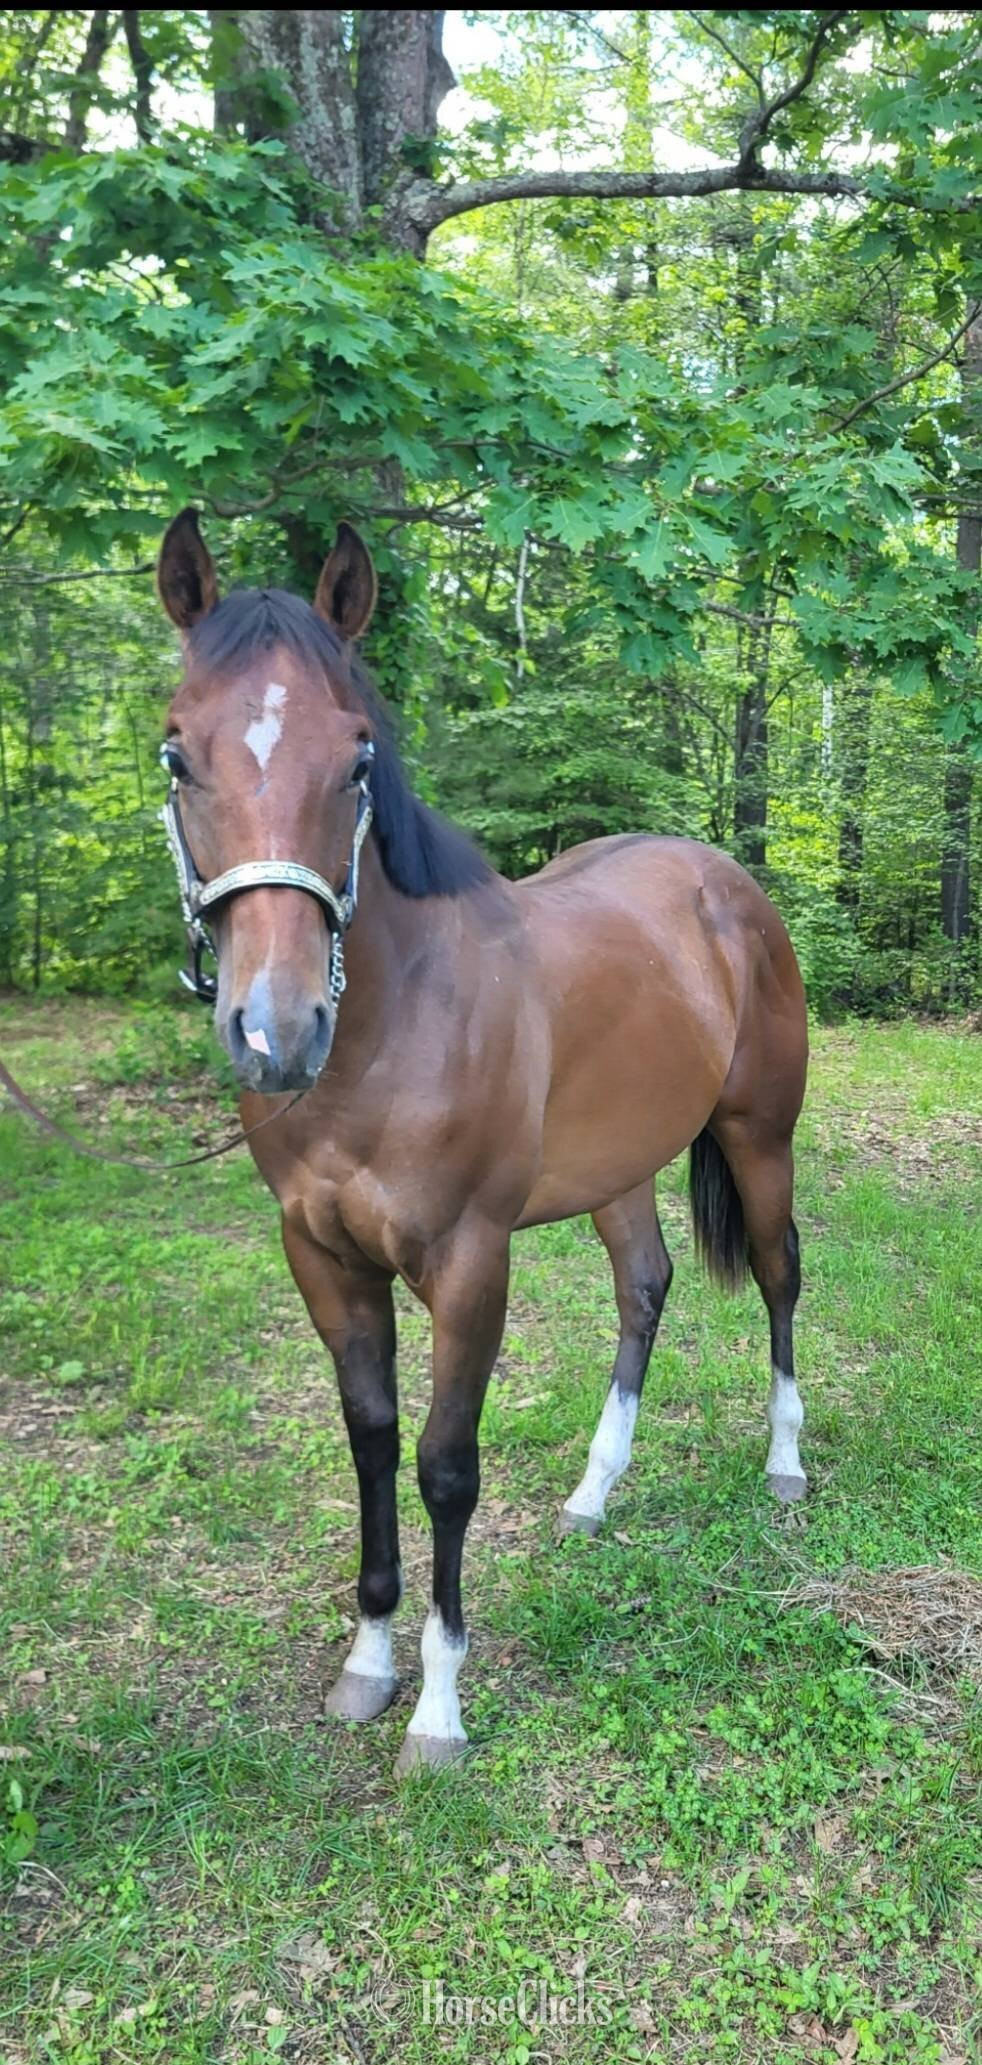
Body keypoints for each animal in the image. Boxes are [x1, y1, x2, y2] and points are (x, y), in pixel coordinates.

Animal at [156, 509, 808, 1776]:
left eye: (358, 757)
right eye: (175, 756)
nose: (274, 1033)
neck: (393, 1028)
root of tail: (724, 882)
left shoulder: (469, 1261)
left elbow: (445, 1468)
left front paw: (440, 1709)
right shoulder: (321, 1256)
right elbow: (370, 1440)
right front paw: (368, 1660)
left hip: (759, 1138)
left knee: (778, 1276)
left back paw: (786, 1463)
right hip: (620, 1167)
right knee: (644, 1286)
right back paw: (594, 1493)